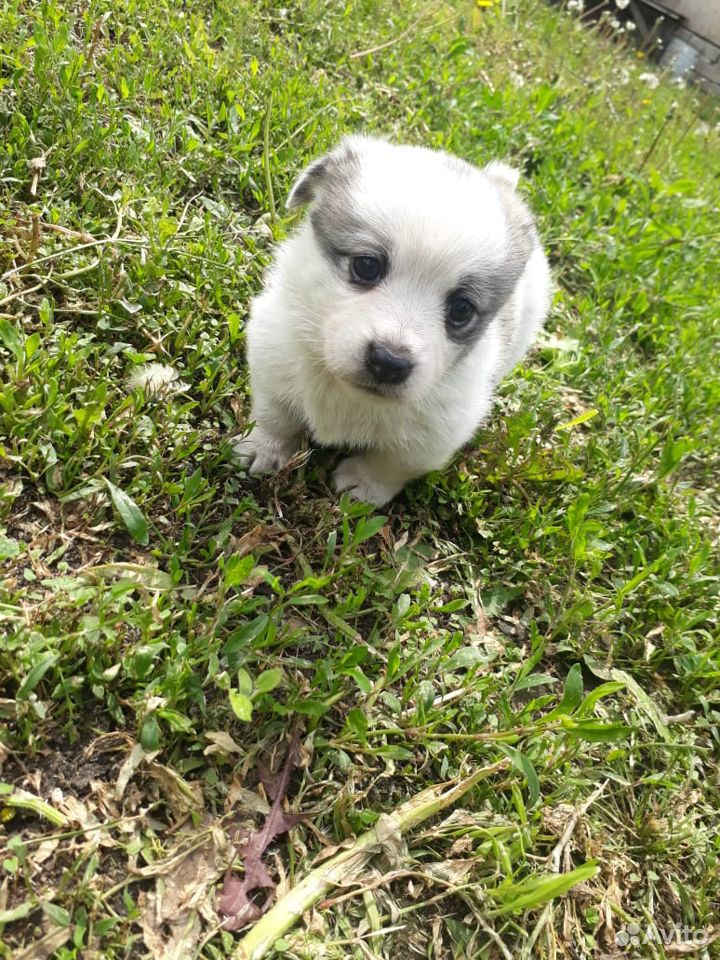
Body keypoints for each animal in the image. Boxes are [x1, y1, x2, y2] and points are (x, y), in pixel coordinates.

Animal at [233, 138, 548, 506]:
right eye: (367, 266)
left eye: (461, 309)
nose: (389, 362)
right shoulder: (273, 353)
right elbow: (276, 415)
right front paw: (264, 447)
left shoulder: (434, 436)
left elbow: (393, 464)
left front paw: (363, 485)